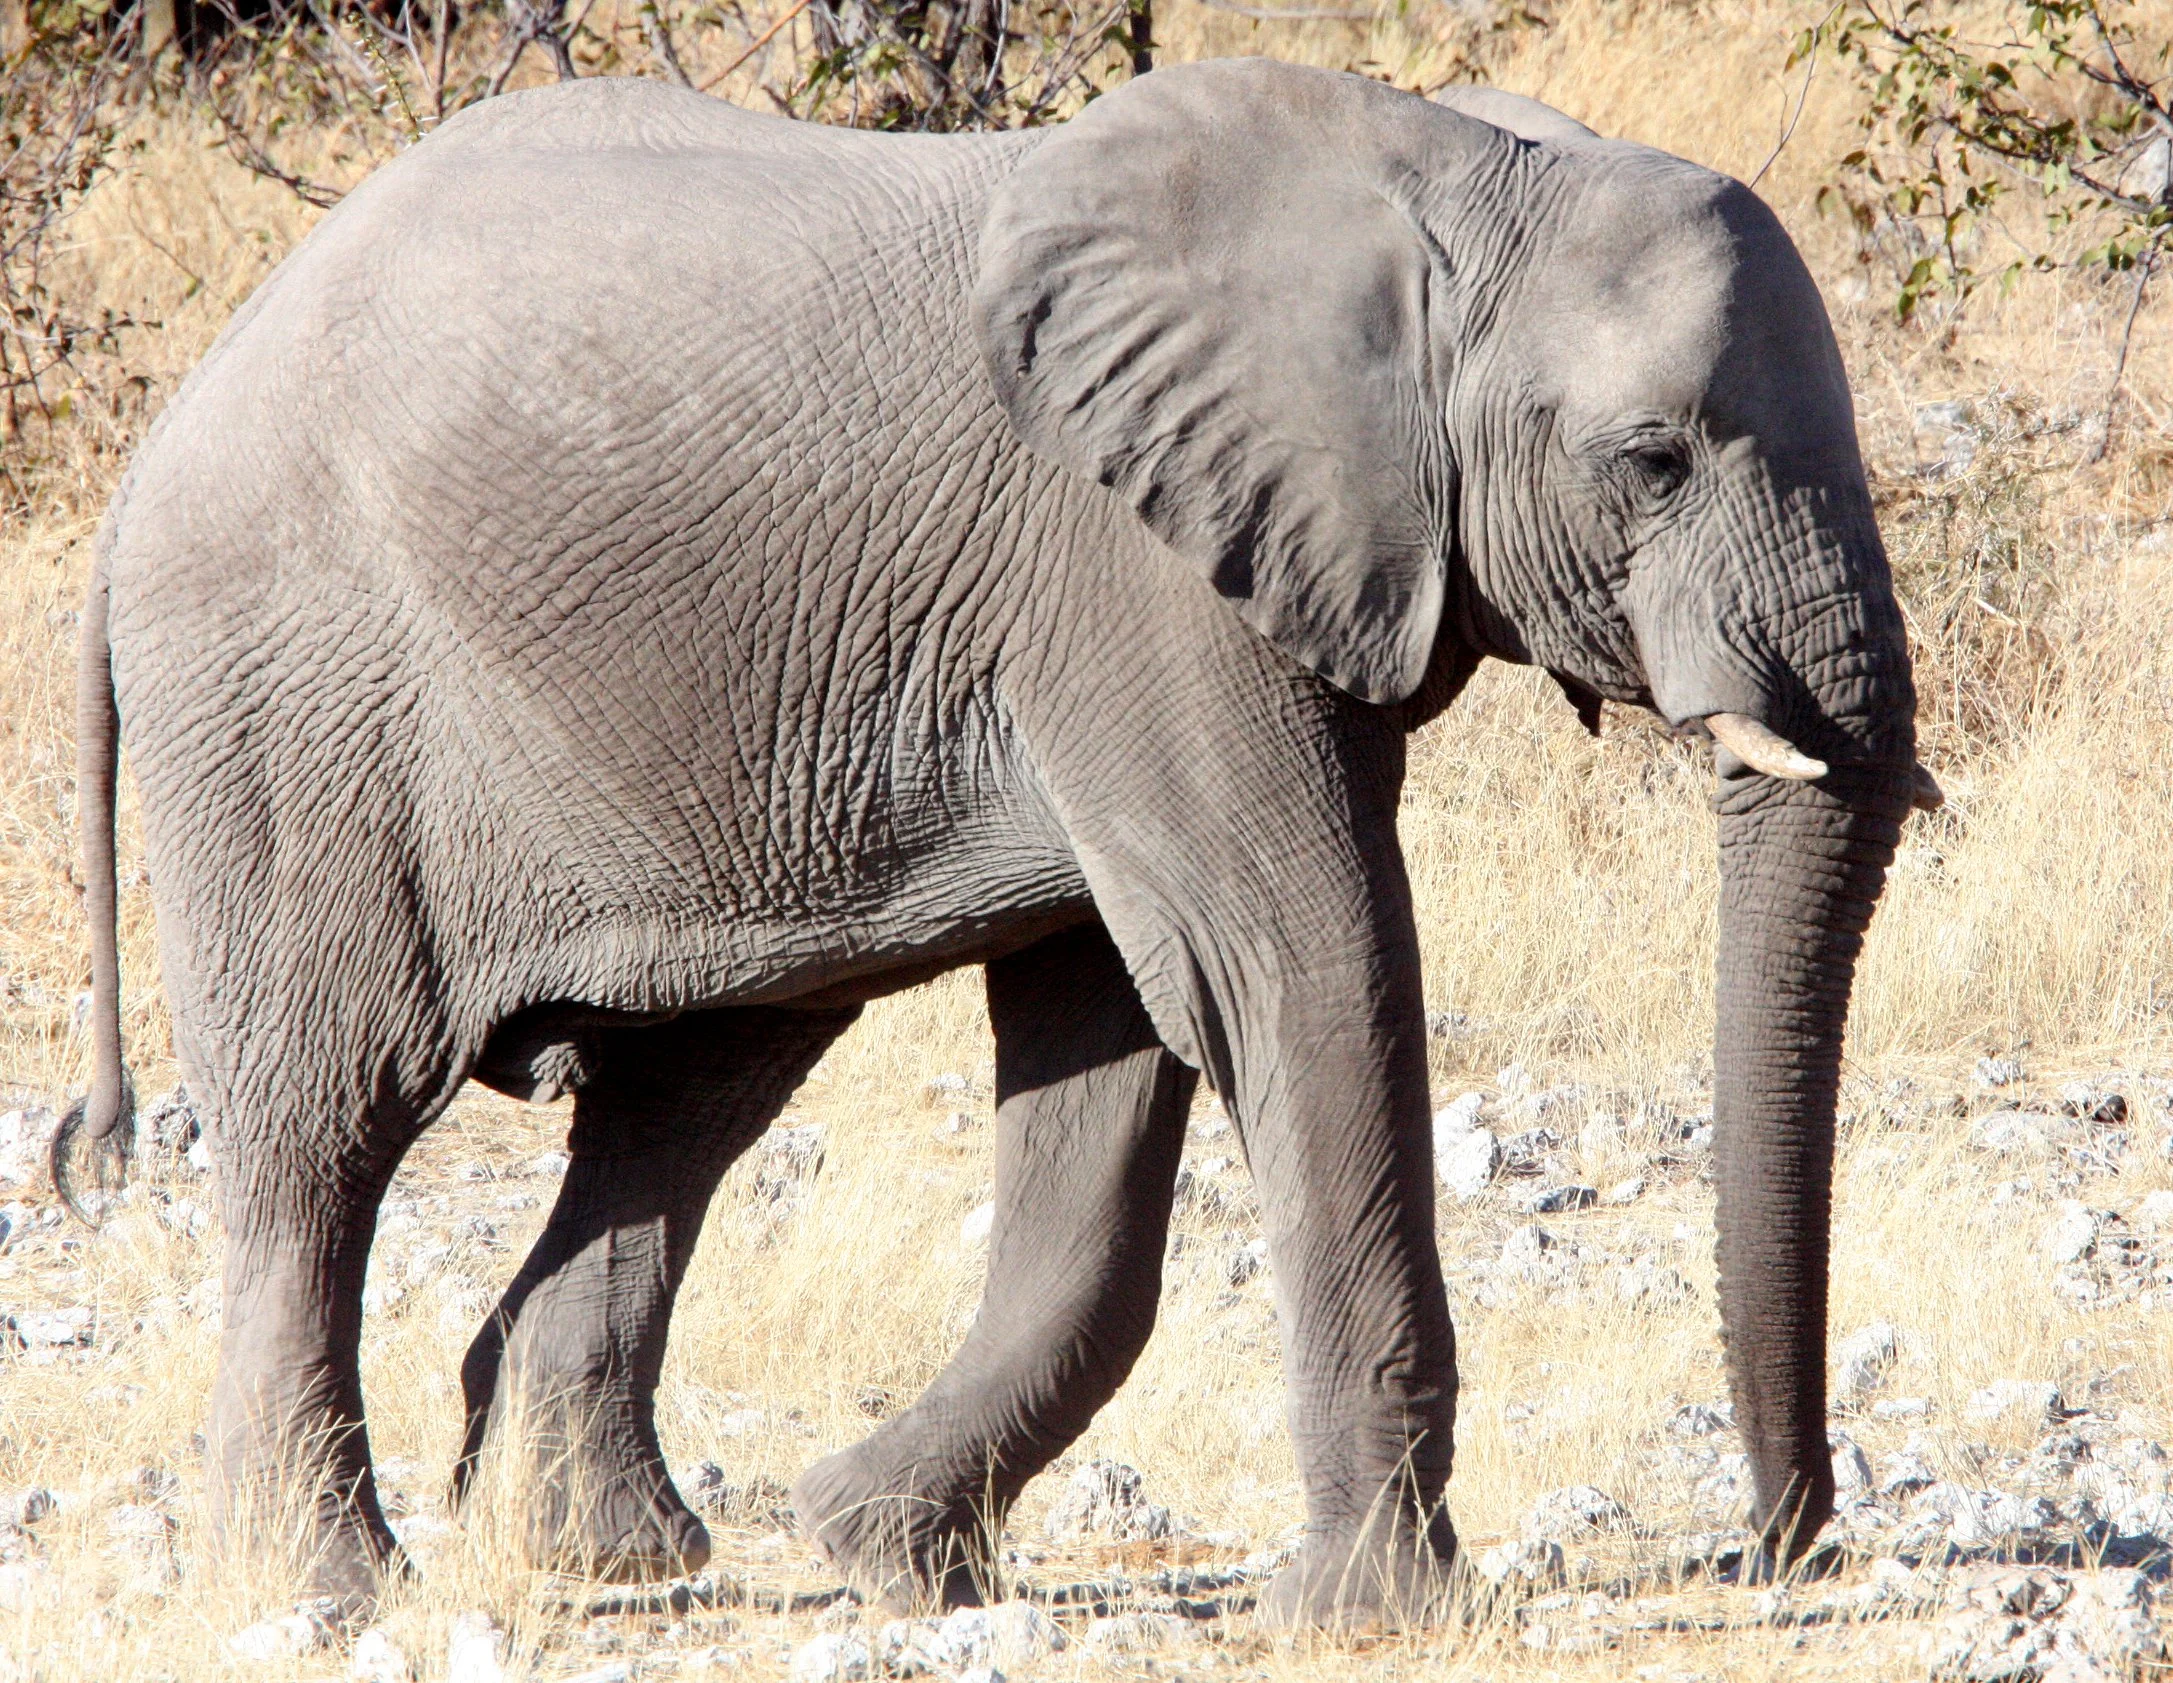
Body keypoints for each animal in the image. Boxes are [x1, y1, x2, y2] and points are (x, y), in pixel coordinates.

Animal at [61, 58, 1938, 1627]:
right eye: (1651, 458)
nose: (1771, 1551)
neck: (1446, 170)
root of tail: (155, 446)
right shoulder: (1135, 573)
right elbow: (1298, 963)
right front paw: (1382, 1616)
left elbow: (1112, 1038)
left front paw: (877, 1547)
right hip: (282, 705)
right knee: (323, 1128)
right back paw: (332, 1585)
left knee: (684, 1095)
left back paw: (606, 1559)